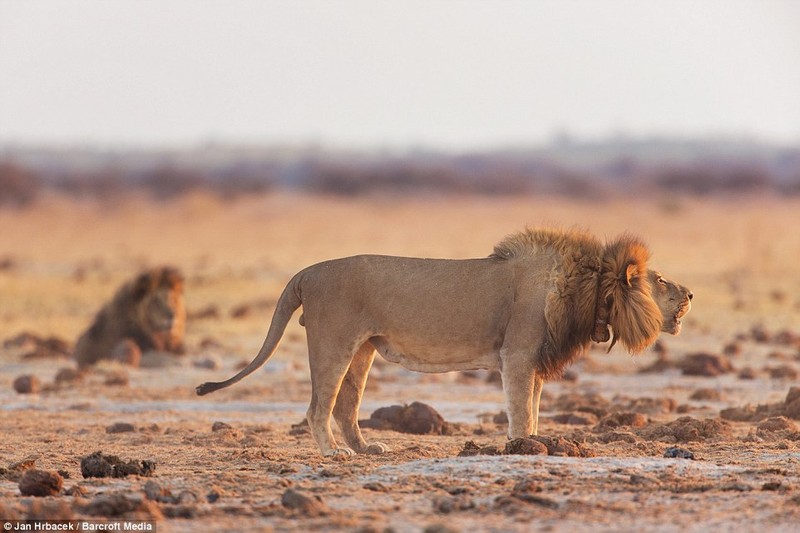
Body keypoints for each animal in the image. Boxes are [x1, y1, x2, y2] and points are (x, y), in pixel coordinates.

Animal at [197, 227, 692, 456]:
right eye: (660, 280)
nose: (690, 294)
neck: (588, 287)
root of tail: (305, 272)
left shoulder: (532, 360)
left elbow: (532, 405)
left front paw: (533, 442)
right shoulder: (518, 354)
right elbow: (520, 407)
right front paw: (521, 446)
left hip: (363, 348)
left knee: (344, 405)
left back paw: (366, 449)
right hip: (332, 341)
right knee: (320, 405)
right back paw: (332, 454)